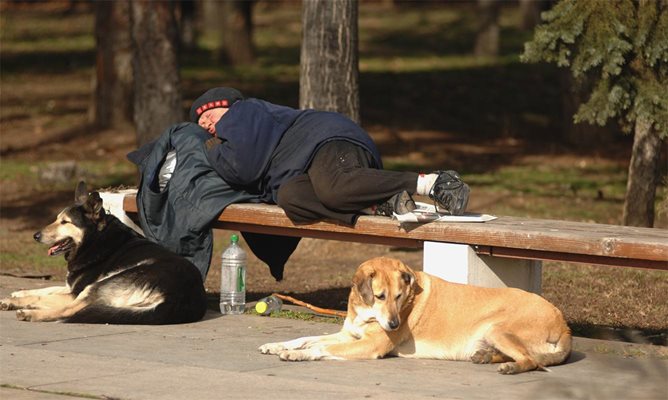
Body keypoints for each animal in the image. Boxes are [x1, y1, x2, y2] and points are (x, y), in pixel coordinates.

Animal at [0, 183, 207, 324]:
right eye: (57, 219)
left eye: (65, 222)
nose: (35, 236)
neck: (95, 239)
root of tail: (179, 297)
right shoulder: (71, 287)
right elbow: (45, 289)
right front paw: (17, 295)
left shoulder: (76, 291)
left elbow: (45, 295)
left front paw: (16, 300)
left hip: (104, 282)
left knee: (70, 310)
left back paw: (31, 312)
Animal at [258, 258, 572, 374]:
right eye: (381, 296)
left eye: (399, 296)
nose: (394, 324)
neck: (367, 312)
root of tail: (563, 323)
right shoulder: (349, 333)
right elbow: (306, 337)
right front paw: (277, 345)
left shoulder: (370, 345)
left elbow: (320, 347)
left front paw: (297, 355)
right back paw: (484, 357)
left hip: (497, 328)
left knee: (530, 360)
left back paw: (509, 367)